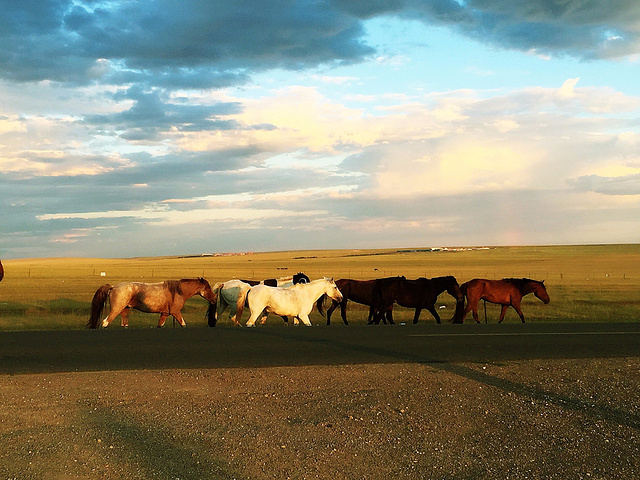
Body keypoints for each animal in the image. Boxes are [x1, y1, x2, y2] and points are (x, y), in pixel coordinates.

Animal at [87, 278, 218, 330]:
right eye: (208, 288)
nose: (215, 298)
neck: (177, 291)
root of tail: (113, 287)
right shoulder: (176, 313)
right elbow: (183, 325)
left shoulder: (165, 314)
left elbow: (159, 326)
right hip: (116, 309)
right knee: (105, 322)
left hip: (125, 310)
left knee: (124, 325)